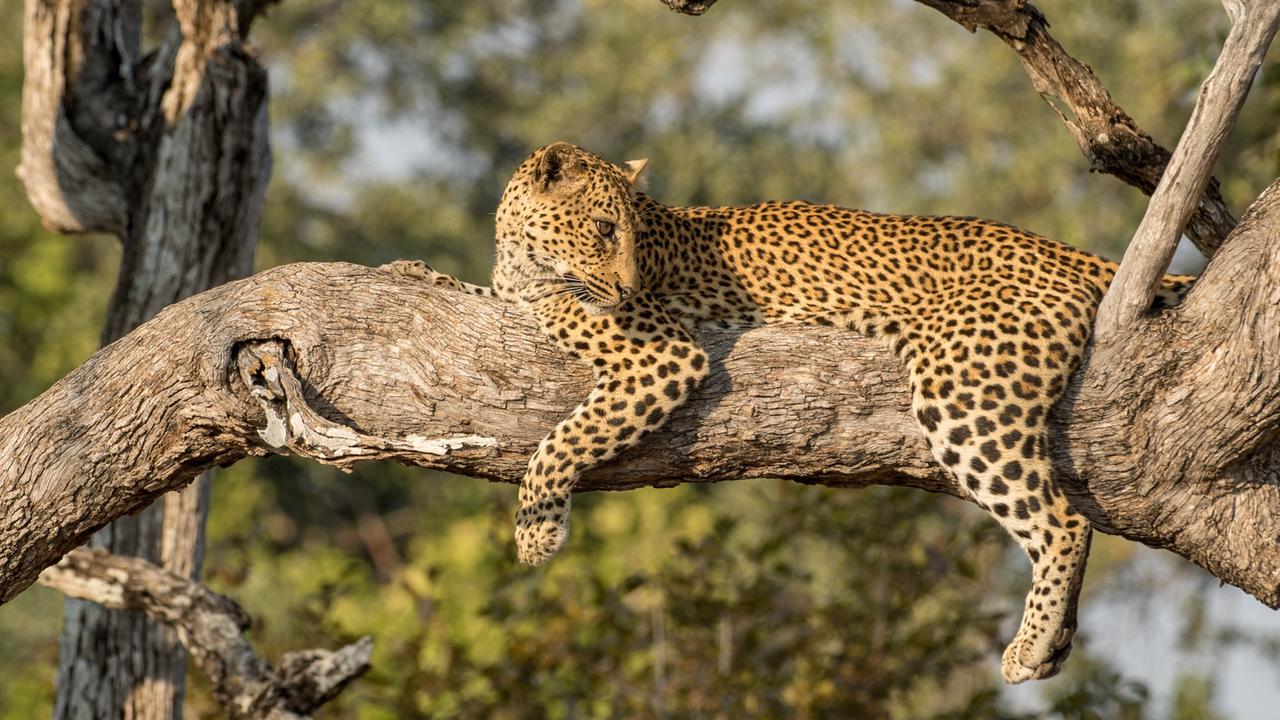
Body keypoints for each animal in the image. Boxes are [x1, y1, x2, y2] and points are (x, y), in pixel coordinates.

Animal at [411, 141, 1195, 683]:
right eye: (604, 227)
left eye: (630, 232)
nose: (631, 285)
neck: (523, 262)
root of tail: (1063, 251)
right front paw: (410, 269)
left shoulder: (665, 356)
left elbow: (567, 435)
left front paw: (536, 531)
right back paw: (1053, 645)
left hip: (962, 388)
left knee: (1061, 521)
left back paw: (1029, 644)